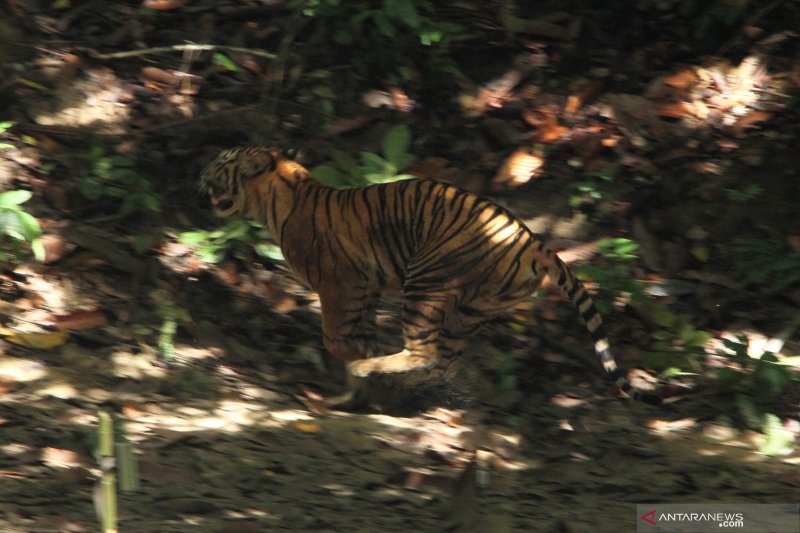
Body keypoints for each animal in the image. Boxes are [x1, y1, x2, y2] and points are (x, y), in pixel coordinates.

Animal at [198, 148, 656, 406]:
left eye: (220, 164)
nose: (198, 179)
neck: (282, 195)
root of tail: (532, 240)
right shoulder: (363, 291)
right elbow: (358, 335)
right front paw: (353, 382)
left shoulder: (342, 284)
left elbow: (335, 336)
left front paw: (355, 366)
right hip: (472, 308)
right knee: (441, 360)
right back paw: (395, 386)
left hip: (426, 281)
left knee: (424, 351)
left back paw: (375, 372)